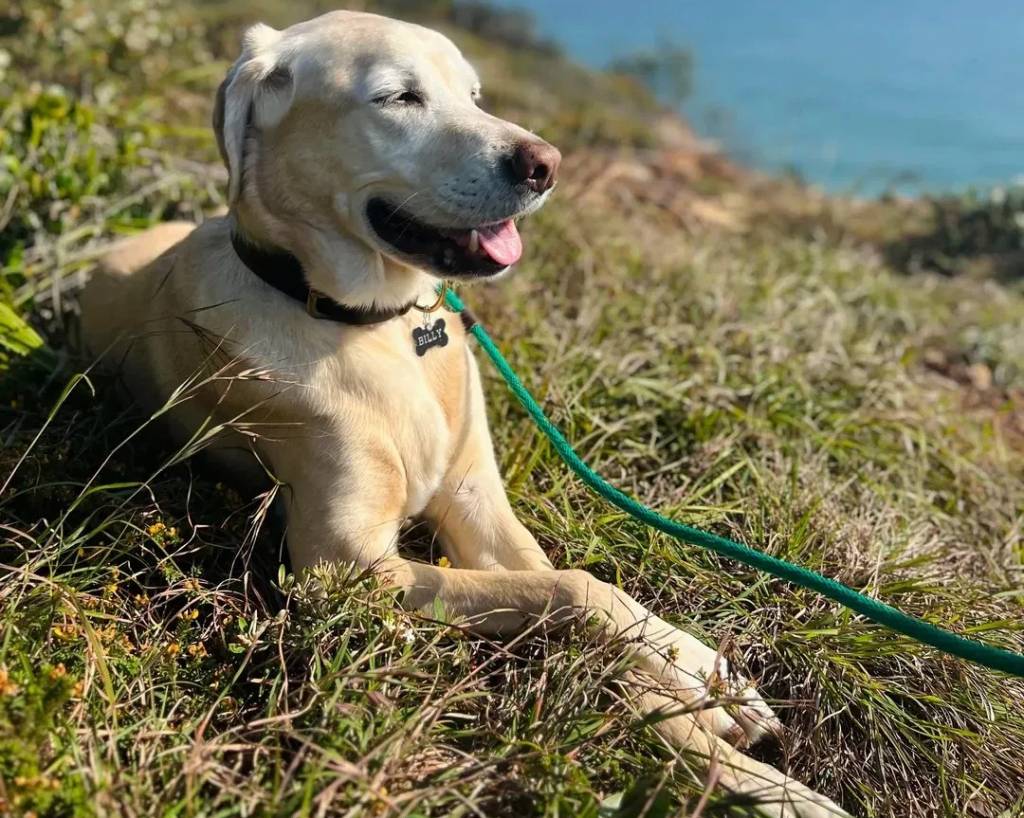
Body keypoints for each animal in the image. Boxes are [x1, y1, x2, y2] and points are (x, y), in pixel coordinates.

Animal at [80, 11, 848, 817]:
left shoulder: (481, 510)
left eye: (475, 94)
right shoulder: (344, 566)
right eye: (398, 97)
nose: (546, 163)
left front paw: (710, 688)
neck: (380, 329)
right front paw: (724, 735)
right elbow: (579, 590)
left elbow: (584, 595)